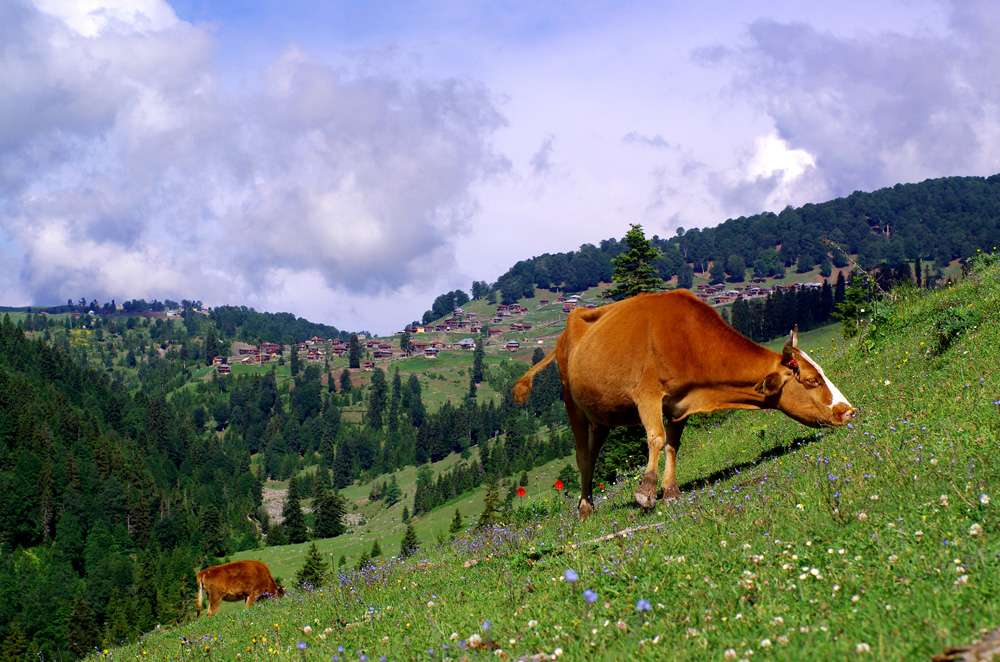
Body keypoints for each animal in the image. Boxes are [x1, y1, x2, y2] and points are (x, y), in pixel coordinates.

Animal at [512, 289, 853, 520]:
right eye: (812, 380)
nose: (848, 411)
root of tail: (564, 331)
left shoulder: (679, 404)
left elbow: (672, 445)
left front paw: (671, 491)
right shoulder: (647, 394)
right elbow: (656, 438)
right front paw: (646, 492)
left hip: (601, 415)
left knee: (593, 454)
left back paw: (589, 502)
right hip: (571, 401)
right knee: (583, 455)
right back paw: (584, 508)